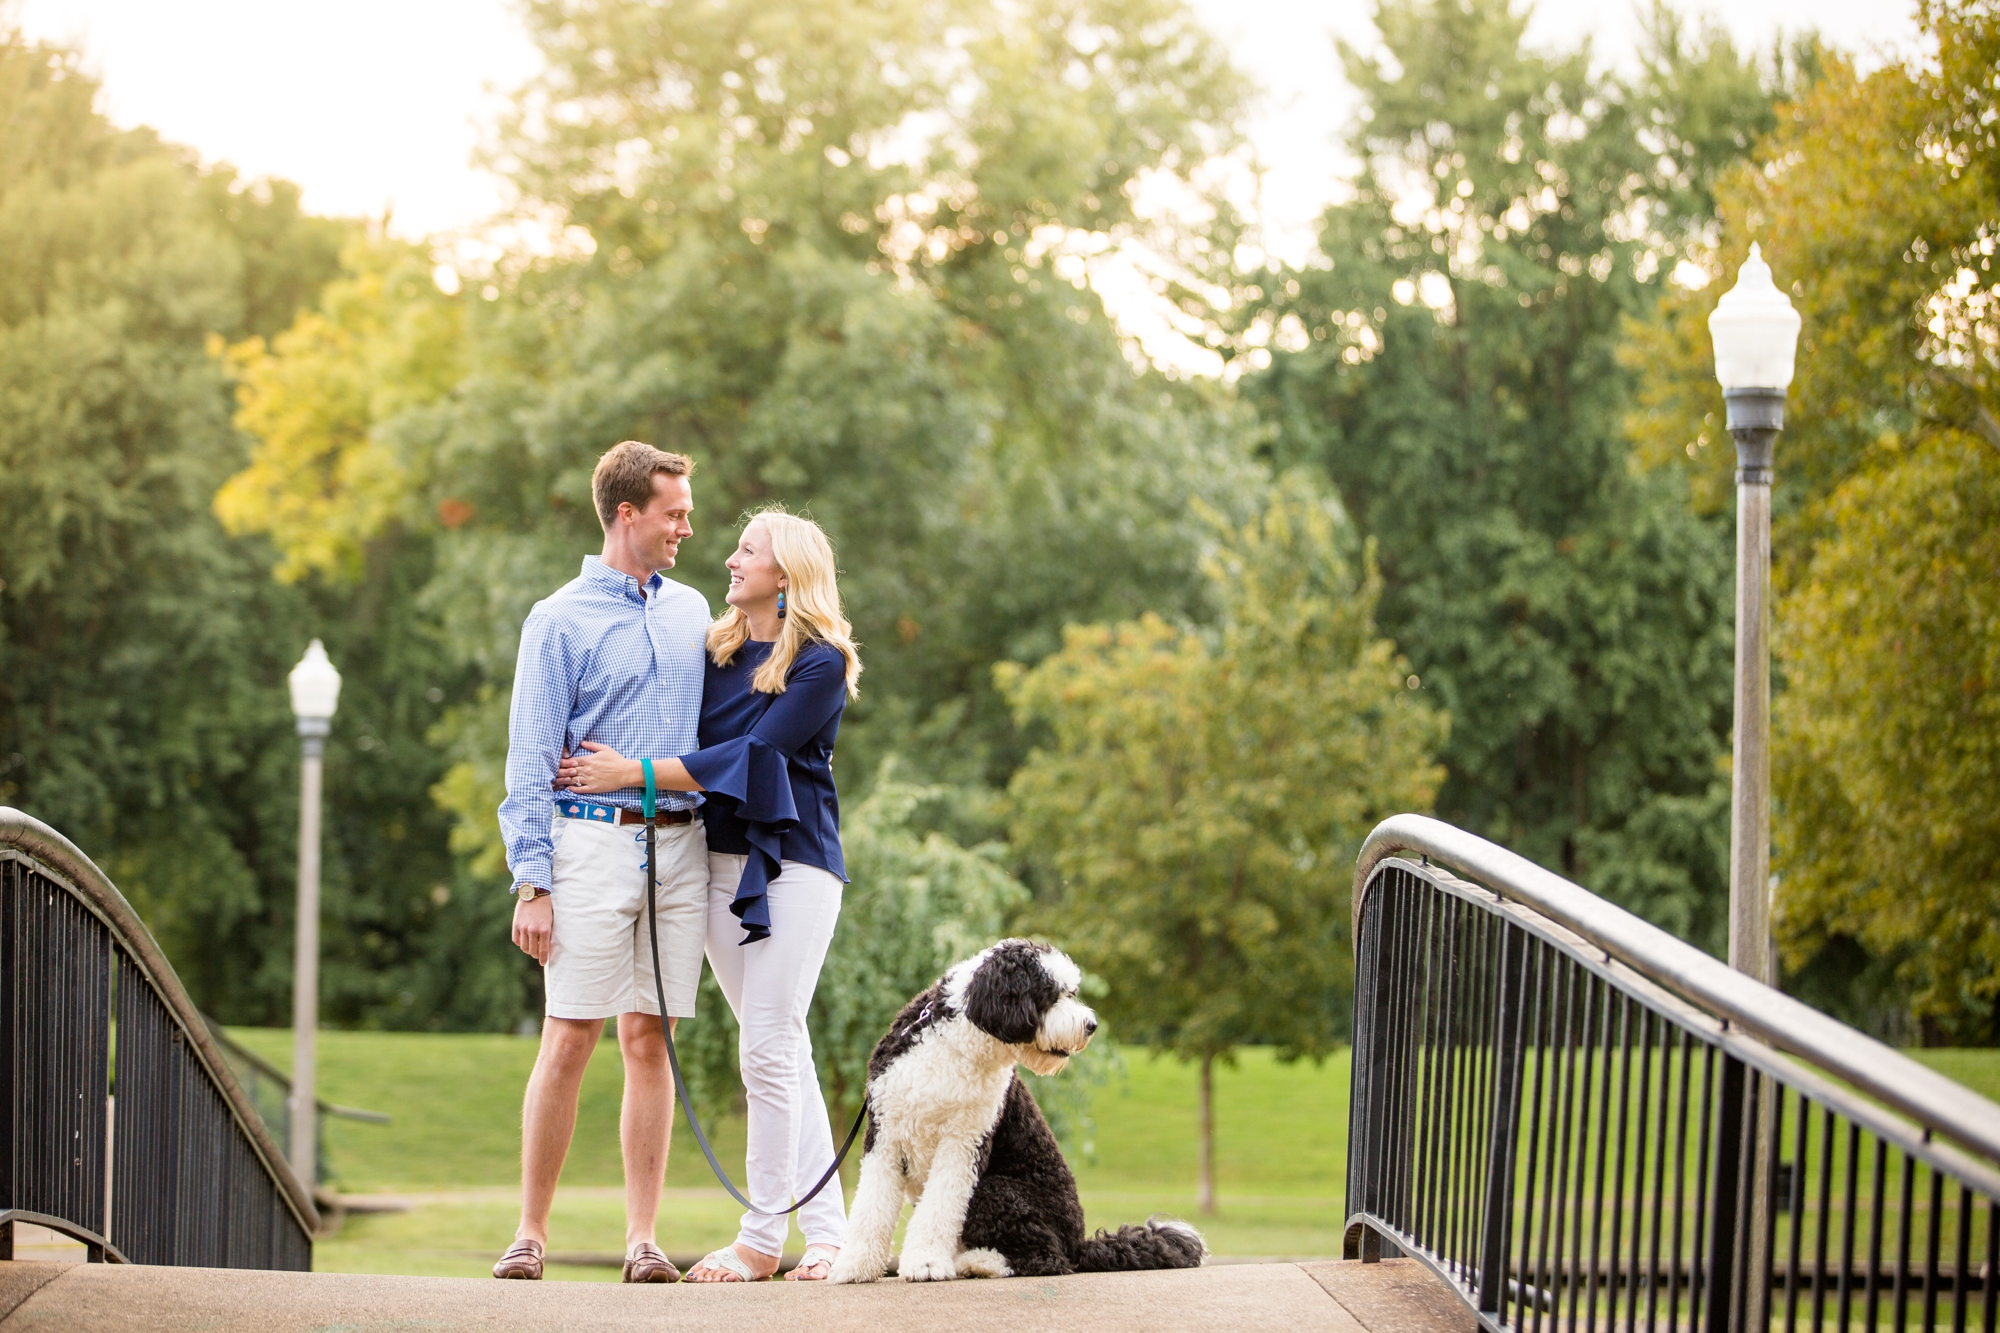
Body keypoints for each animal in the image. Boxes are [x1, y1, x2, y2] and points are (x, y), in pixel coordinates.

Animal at [824, 932, 1200, 1280]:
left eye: (1070, 992)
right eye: (1049, 994)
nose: (1091, 1025)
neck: (955, 1049)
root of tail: (1078, 1243)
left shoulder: (964, 1144)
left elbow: (939, 1209)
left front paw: (927, 1263)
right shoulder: (885, 1135)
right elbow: (870, 1207)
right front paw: (855, 1265)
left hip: (996, 1190)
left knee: (1047, 1259)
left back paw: (977, 1262)